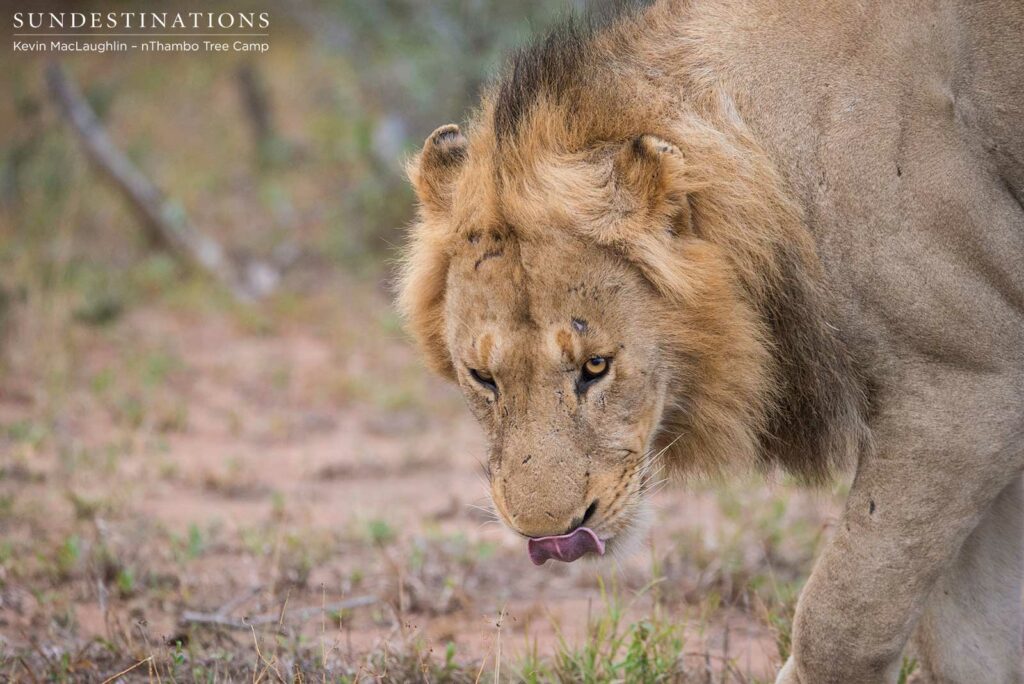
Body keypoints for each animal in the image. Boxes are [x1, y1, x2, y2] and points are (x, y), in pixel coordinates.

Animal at [397, 1, 1024, 682]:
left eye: (596, 366)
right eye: (483, 378)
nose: (549, 535)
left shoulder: (970, 390)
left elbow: (844, 623)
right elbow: (973, 641)